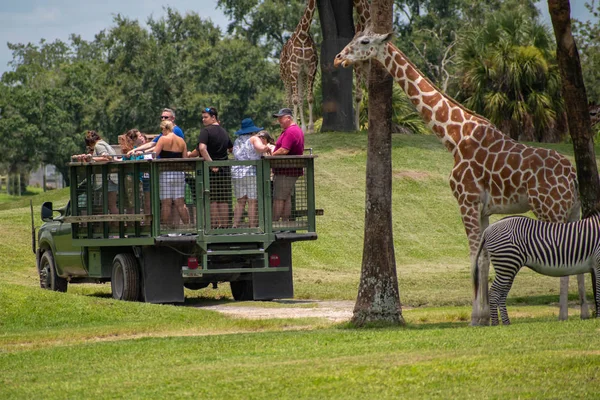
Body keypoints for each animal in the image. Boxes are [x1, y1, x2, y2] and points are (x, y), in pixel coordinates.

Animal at [280, 0, 318, 134]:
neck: (303, 35)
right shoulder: (294, 69)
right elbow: (294, 99)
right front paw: (294, 123)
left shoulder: (311, 68)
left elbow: (309, 97)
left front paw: (310, 128)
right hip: (285, 76)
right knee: (288, 99)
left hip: (301, 75)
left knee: (301, 98)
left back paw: (303, 128)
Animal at [332, 28, 592, 324]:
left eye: (364, 41)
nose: (338, 58)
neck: (453, 137)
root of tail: (572, 176)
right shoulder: (484, 208)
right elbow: (484, 257)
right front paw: (486, 316)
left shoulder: (466, 200)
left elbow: (473, 256)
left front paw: (476, 317)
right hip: (572, 209)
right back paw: (585, 312)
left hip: (550, 208)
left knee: (563, 248)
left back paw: (563, 314)